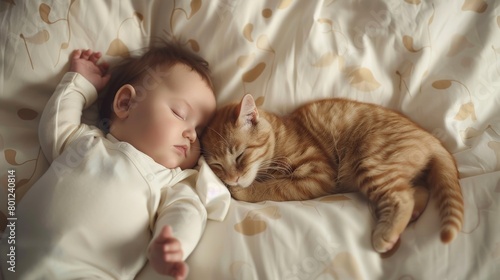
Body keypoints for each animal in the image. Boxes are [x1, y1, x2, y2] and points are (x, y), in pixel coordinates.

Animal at [200, 94, 464, 254]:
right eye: (218, 166)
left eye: (239, 156)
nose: (232, 178)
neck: (280, 135)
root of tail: (431, 138)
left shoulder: (318, 174)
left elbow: (274, 187)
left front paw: (241, 191)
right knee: (418, 190)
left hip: (370, 162)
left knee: (403, 197)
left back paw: (387, 234)